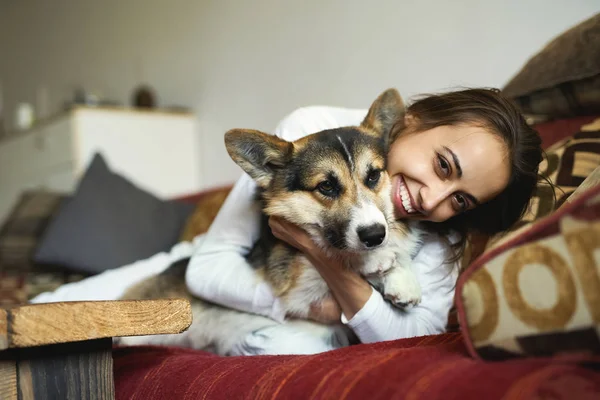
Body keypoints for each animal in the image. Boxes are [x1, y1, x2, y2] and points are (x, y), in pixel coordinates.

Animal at [117, 88, 426, 356]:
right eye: (326, 186)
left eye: (373, 176)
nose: (374, 236)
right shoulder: (296, 285)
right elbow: (330, 255)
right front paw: (375, 260)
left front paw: (402, 278)